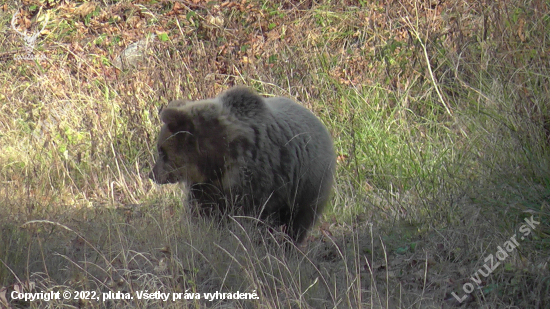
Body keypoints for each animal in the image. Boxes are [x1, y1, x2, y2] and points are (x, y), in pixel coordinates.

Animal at [149, 86, 336, 243]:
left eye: (161, 150)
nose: (152, 174)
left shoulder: (257, 178)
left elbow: (251, 215)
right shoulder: (206, 186)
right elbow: (203, 212)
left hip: (308, 184)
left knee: (297, 221)